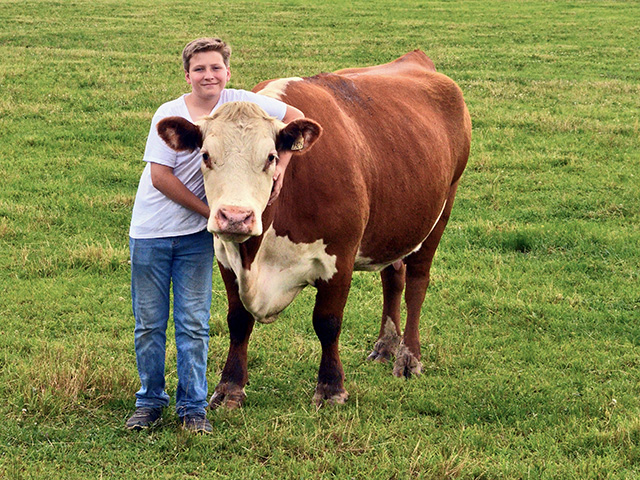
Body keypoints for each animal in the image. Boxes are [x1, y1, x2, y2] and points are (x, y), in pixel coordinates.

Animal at [158, 49, 472, 408]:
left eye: (271, 157)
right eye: (206, 155)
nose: (235, 216)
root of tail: (415, 59)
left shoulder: (340, 257)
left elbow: (327, 322)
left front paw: (331, 387)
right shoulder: (226, 256)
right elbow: (238, 321)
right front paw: (229, 387)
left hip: (442, 207)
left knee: (418, 282)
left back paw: (408, 357)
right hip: (394, 223)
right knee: (393, 277)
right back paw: (386, 346)